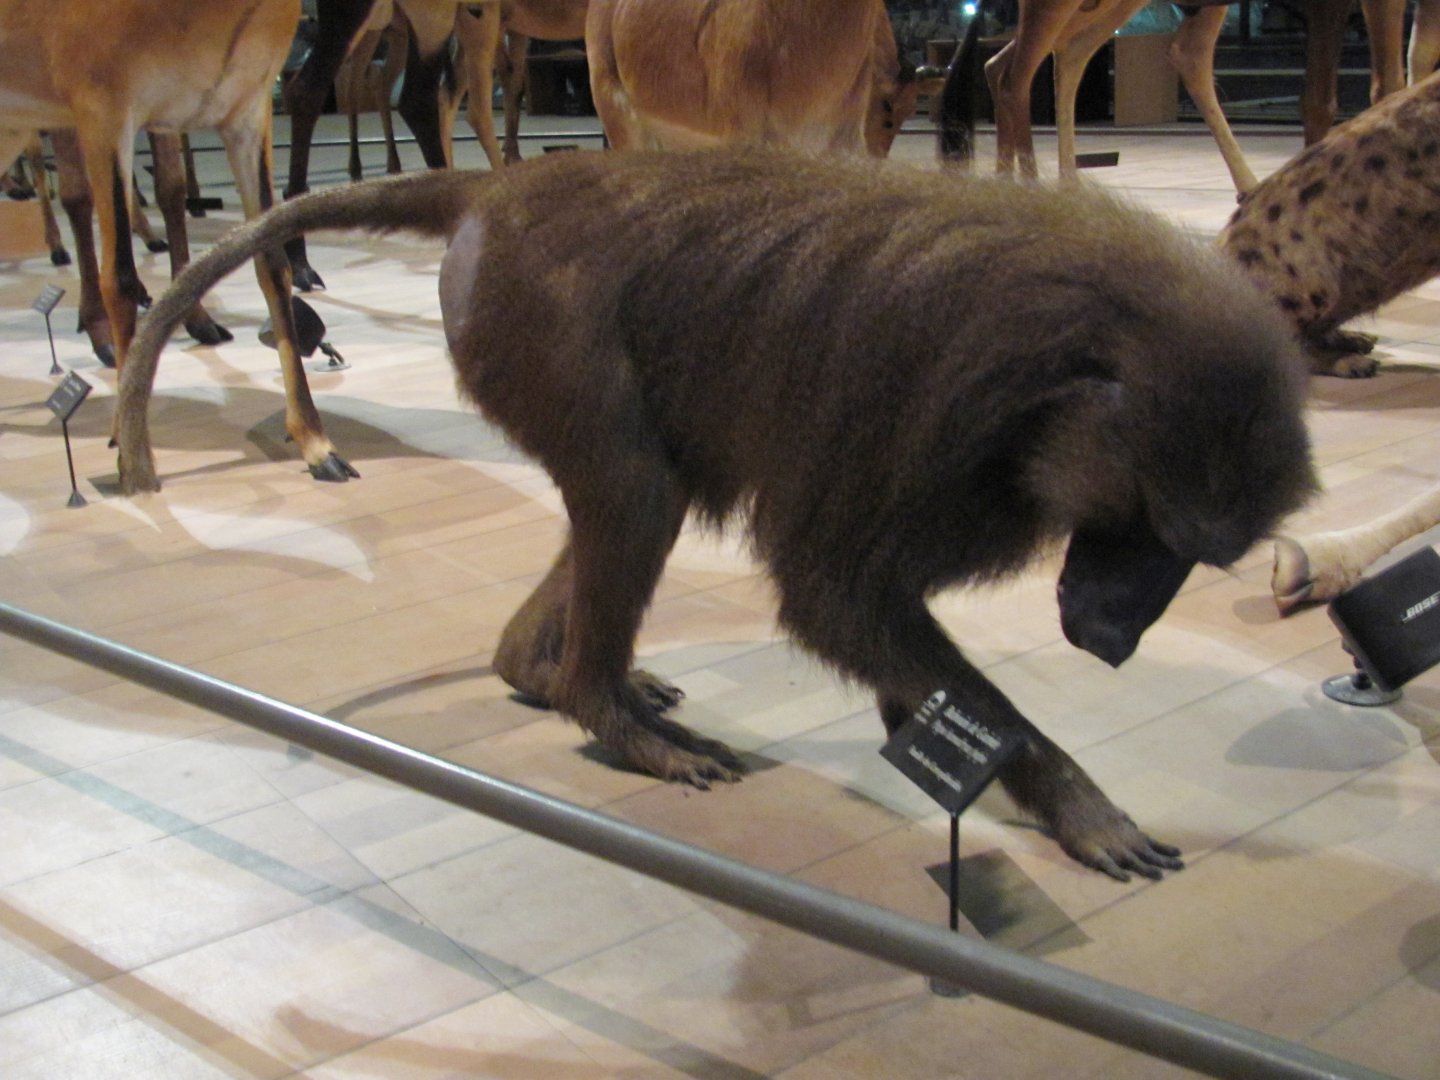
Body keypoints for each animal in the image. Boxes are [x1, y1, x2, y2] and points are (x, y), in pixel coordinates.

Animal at [115, 149, 1318, 881]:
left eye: (1182, 558)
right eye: (1148, 537)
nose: (1115, 634)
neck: (1071, 352)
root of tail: (505, 187)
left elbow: (887, 644)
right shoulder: (922, 427)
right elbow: (836, 601)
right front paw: (1079, 807)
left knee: (642, 489)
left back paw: (536, 670)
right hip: (529, 310)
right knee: (635, 490)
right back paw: (603, 709)